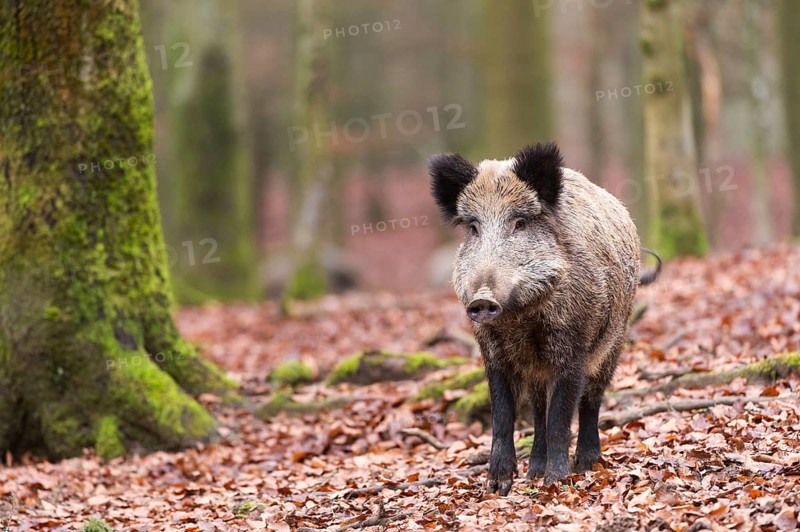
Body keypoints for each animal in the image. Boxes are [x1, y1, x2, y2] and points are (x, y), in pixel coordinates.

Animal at [429, 142, 660, 495]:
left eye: (520, 222)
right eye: (473, 227)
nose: (483, 298)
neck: (521, 319)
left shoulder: (574, 348)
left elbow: (560, 419)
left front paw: (558, 481)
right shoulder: (492, 353)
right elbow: (503, 419)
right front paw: (497, 487)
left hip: (614, 340)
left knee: (591, 400)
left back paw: (587, 464)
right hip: (539, 370)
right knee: (538, 410)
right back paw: (533, 472)